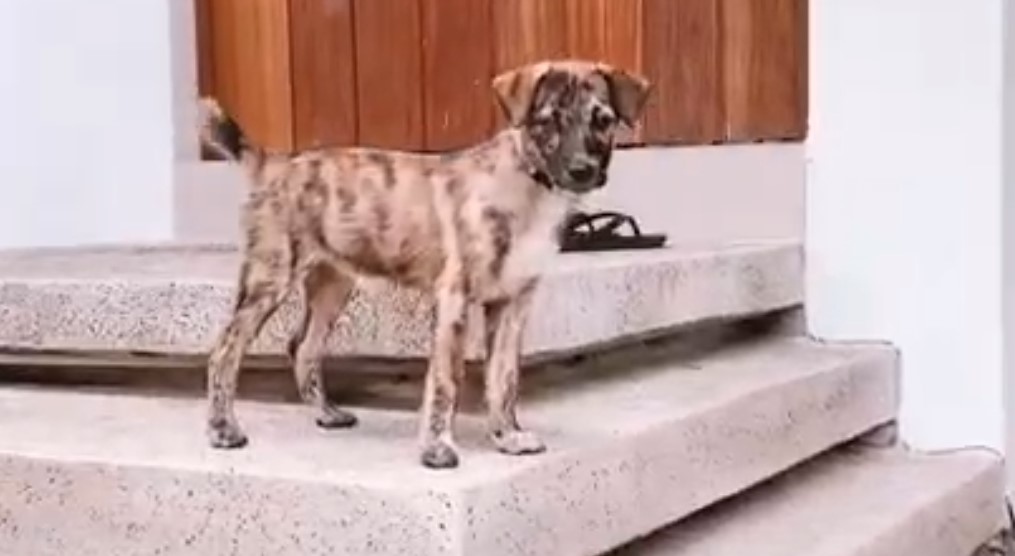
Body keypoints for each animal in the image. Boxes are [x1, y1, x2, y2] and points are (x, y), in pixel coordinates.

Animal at [199, 59, 649, 468]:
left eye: (603, 120)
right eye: (547, 121)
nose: (582, 170)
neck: (529, 185)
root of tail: (275, 163)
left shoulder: (513, 303)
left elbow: (504, 378)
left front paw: (507, 436)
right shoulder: (455, 297)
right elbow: (447, 379)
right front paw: (437, 449)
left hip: (332, 283)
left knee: (303, 347)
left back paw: (327, 414)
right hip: (269, 277)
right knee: (225, 349)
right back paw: (223, 429)